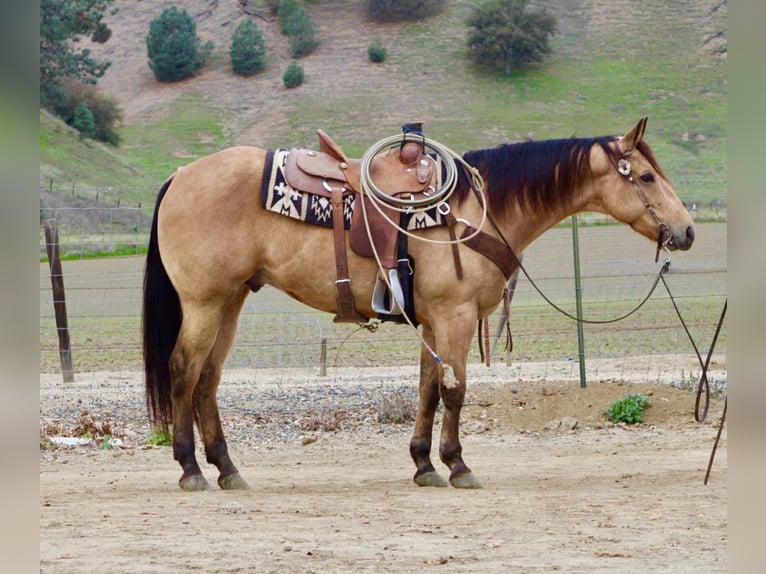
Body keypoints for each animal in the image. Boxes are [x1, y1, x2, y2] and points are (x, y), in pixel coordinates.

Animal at [143, 118, 695, 491]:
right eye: (646, 177)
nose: (687, 231)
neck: (481, 209)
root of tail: (179, 176)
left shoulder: (433, 322)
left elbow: (428, 389)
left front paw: (424, 464)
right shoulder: (455, 317)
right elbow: (455, 391)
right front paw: (457, 464)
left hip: (230, 301)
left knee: (208, 379)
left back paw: (227, 468)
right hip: (205, 302)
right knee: (184, 370)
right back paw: (190, 468)